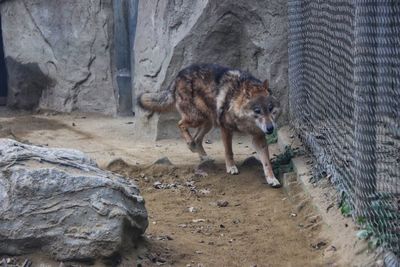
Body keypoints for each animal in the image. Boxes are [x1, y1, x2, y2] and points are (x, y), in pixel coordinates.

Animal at [138, 63, 282, 187]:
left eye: (270, 108)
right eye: (257, 111)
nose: (270, 128)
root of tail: (179, 75)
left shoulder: (259, 136)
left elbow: (266, 161)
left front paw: (272, 179)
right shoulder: (226, 129)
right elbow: (229, 151)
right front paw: (231, 167)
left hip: (207, 122)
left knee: (197, 139)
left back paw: (203, 156)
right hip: (197, 118)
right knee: (181, 124)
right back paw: (190, 145)